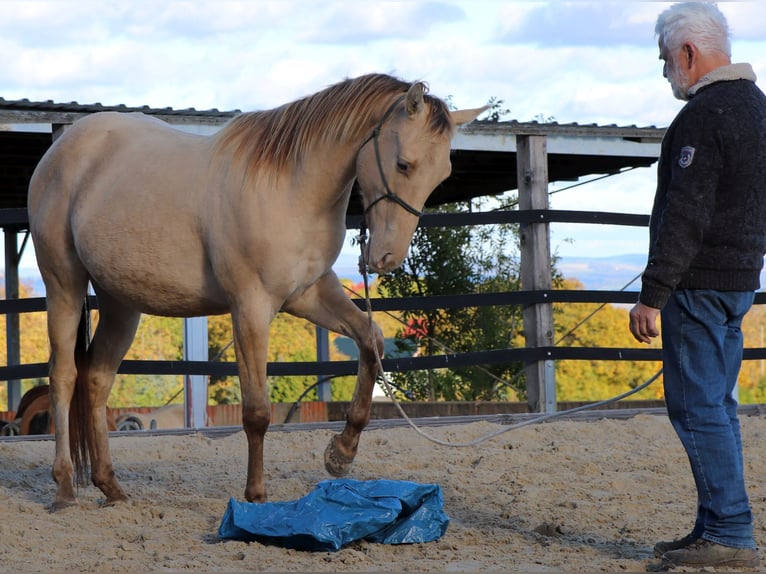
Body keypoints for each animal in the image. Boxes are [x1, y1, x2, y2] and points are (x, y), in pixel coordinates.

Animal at [28, 73, 484, 510]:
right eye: (404, 164)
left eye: (441, 174)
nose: (387, 257)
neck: (290, 188)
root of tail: (63, 148)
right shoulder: (250, 307)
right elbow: (257, 411)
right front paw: (257, 495)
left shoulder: (310, 295)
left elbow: (370, 340)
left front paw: (341, 453)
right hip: (64, 285)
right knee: (64, 376)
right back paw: (65, 488)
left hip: (121, 303)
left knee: (97, 379)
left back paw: (111, 487)